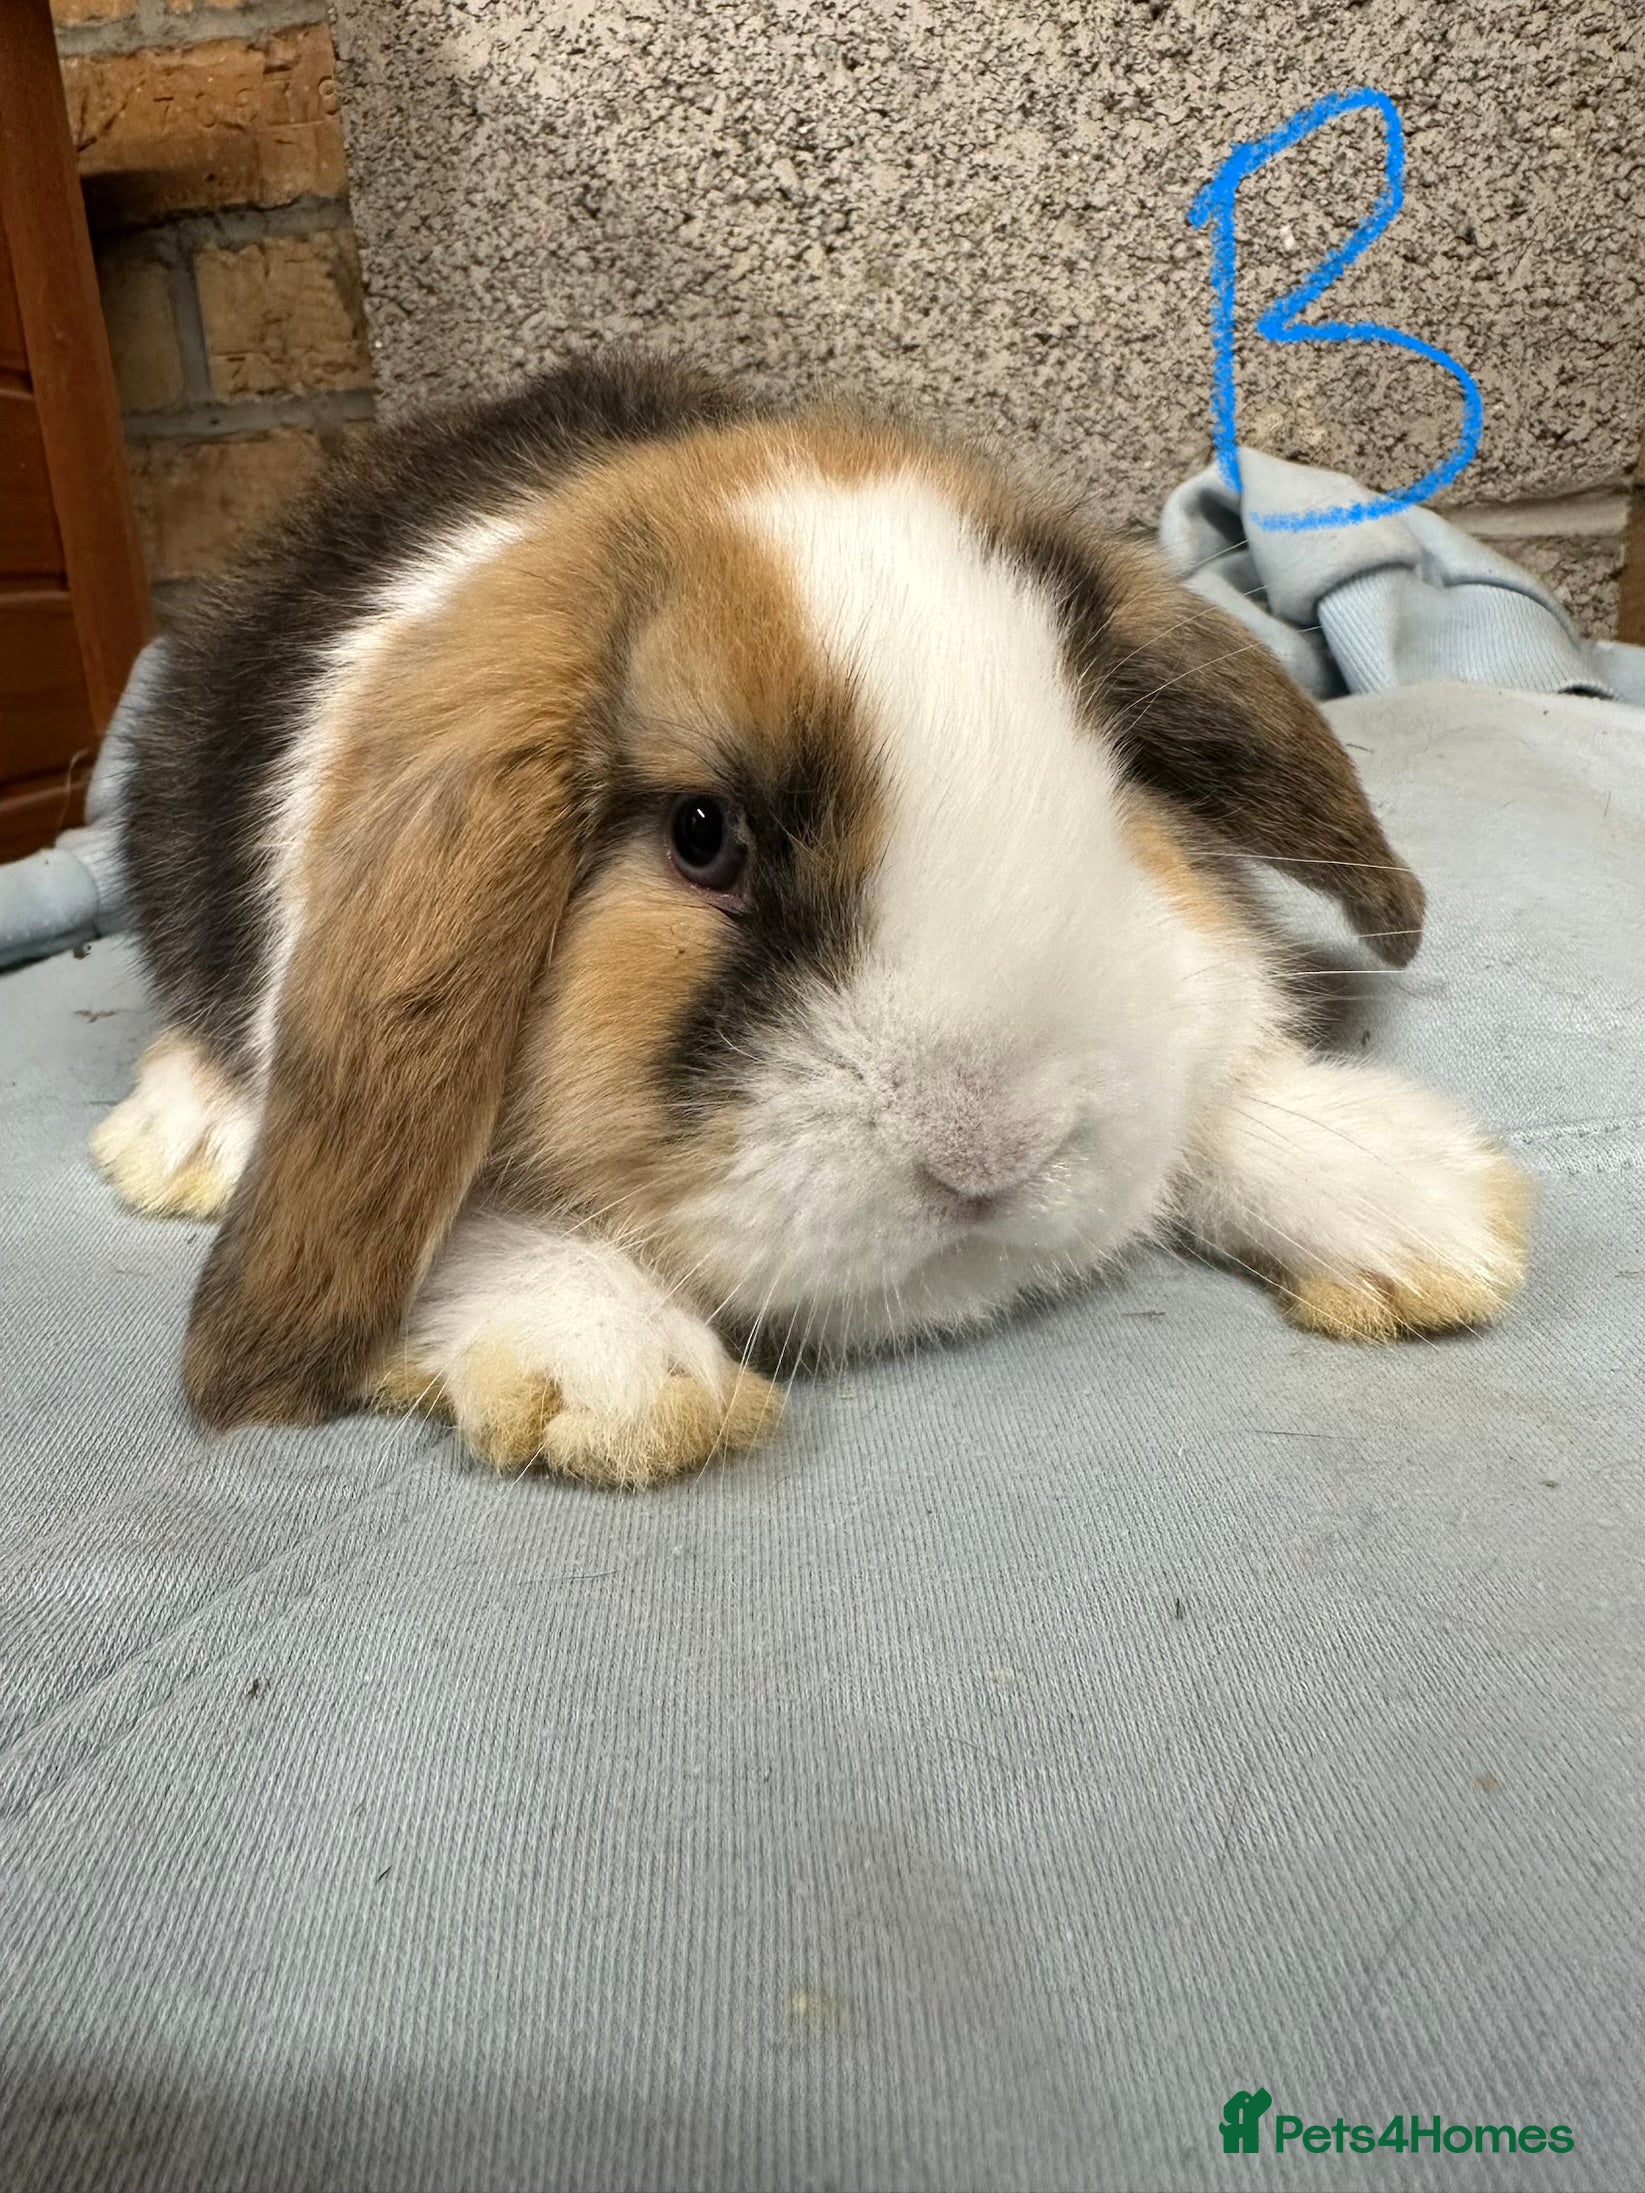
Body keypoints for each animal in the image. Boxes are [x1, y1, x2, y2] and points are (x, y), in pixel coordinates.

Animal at [93, 351, 1530, 1487]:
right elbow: (443, 1209)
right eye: (702, 836)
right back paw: (184, 1141)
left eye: (1114, 775)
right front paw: (616, 1372)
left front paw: (1422, 1209)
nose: (993, 1150)